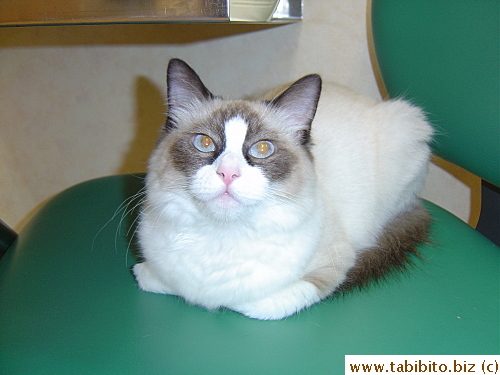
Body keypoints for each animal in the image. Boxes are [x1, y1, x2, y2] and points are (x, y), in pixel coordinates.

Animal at [133, 58, 434, 320]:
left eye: (262, 149)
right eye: (204, 143)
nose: (228, 173)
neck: (219, 237)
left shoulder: (335, 262)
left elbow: (264, 303)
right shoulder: (155, 269)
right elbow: (150, 277)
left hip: (406, 129)